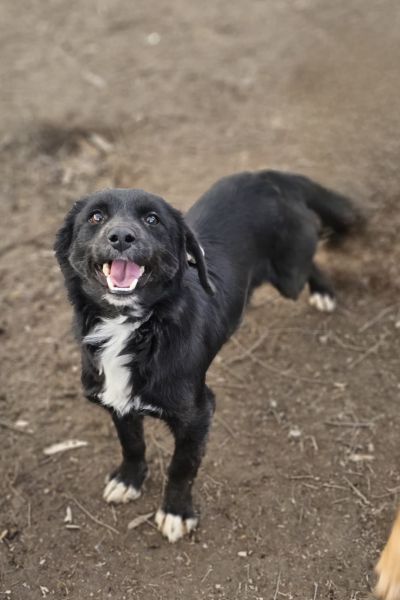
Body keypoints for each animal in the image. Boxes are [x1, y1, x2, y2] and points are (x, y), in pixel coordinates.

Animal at [55, 170, 360, 542]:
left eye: (152, 219)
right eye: (96, 217)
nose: (122, 236)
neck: (139, 328)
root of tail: (269, 175)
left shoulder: (198, 414)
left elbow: (182, 467)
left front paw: (176, 512)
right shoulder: (116, 401)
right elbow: (132, 443)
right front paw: (129, 480)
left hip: (290, 275)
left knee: (311, 259)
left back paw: (323, 292)